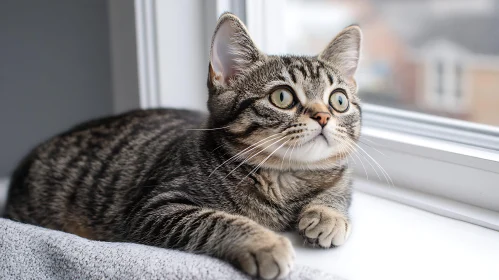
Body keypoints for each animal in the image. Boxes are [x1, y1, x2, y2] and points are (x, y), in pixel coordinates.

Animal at [3, 13, 364, 280]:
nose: (322, 116)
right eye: (282, 97)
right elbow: (215, 220)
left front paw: (327, 215)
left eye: (339, 101)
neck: (286, 178)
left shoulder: (341, 174)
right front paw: (264, 242)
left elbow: (338, 188)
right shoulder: (154, 209)